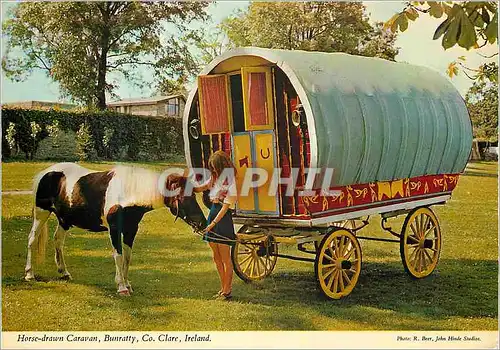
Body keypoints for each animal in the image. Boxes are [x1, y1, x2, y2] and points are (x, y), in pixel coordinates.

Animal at [24, 163, 205, 294]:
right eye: (184, 197)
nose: (202, 223)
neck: (128, 192)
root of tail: (46, 173)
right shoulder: (115, 229)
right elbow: (118, 256)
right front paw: (122, 287)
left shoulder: (131, 230)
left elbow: (127, 257)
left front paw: (128, 284)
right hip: (41, 213)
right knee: (32, 239)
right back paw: (29, 274)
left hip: (64, 220)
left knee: (58, 241)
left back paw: (64, 272)